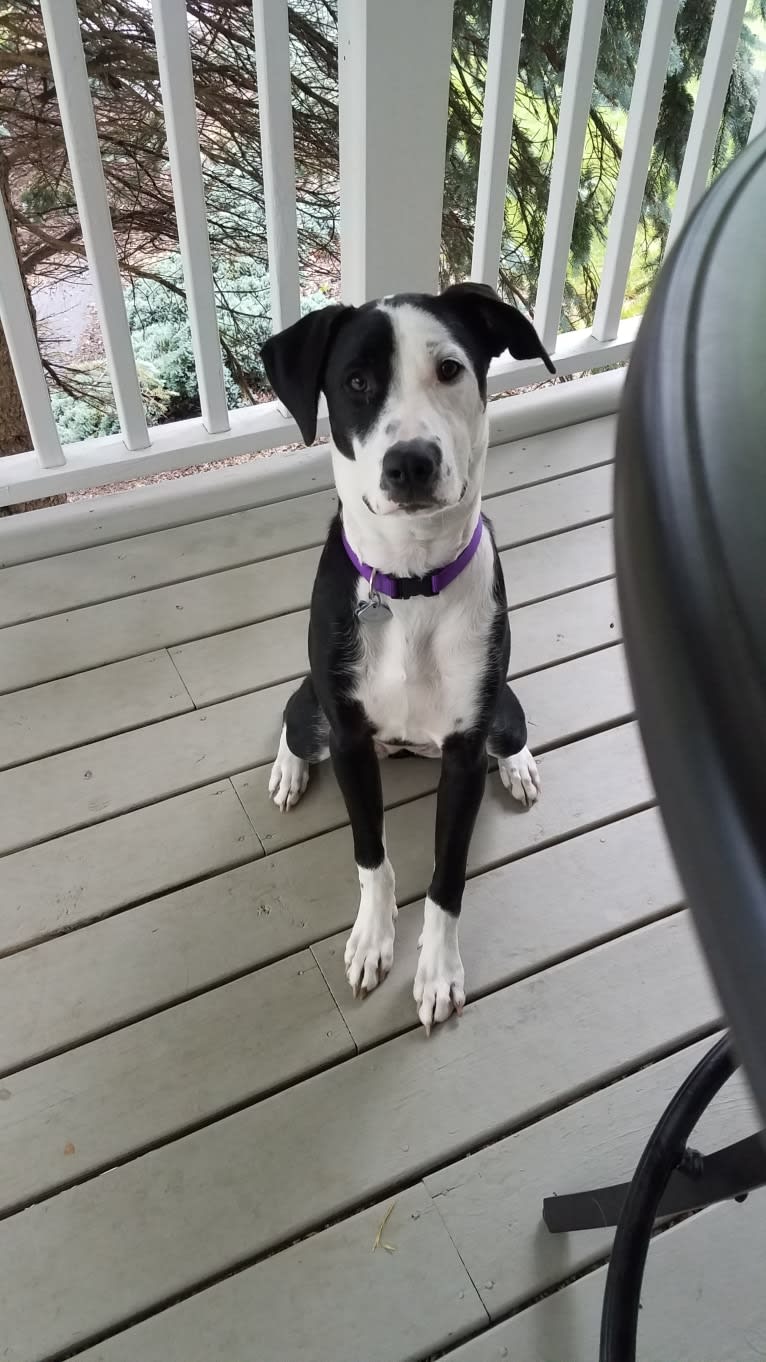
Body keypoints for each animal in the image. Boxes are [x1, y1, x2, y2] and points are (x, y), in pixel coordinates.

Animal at [258, 287, 550, 1029]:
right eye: (357, 382)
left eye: (450, 369)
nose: (410, 462)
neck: (412, 582)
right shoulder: (350, 741)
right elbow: (371, 854)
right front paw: (372, 939)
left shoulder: (465, 754)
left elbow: (448, 877)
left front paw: (439, 970)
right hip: (315, 711)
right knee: (294, 723)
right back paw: (288, 771)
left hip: (502, 712)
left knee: (514, 732)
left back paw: (520, 767)